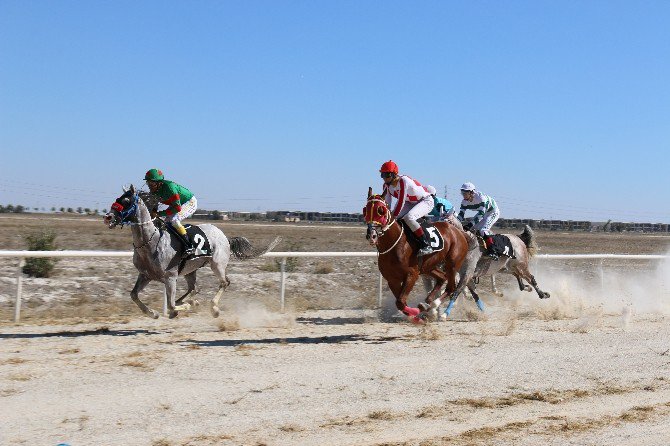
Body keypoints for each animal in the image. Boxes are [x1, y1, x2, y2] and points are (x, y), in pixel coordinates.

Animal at [103, 186, 280, 318]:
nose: (108, 217)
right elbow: (134, 295)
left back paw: (213, 308)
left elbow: (171, 305)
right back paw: (193, 302)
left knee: (224, 282)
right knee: (194, 288)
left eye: (126, 201)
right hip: (190, 269)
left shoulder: (170, 277)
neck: (150, 243)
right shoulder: (146, 275)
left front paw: (184, 307)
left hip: (217, 264)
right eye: (118, 198)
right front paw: (153, 313)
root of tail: (225, 237)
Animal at [364, 187, 470, 320]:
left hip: (452, 263)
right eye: (365, 210)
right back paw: (428, 304)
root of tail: (459, 231)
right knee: (441, 278)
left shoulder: (412, 274)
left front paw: (416, 313)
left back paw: (434, 308)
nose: (371, 235)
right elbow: (401, 303)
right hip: (428, 266)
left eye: (380, 210)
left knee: (451, 287)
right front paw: (416, 314)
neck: (395, 244)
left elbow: (400, 302)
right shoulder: (392, 279)